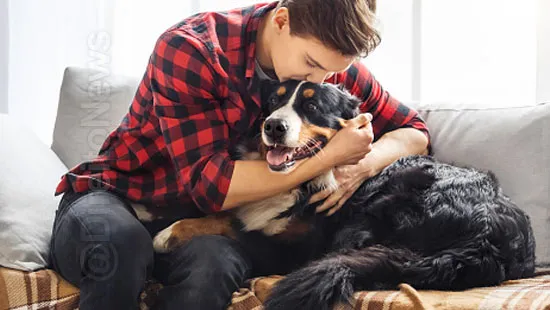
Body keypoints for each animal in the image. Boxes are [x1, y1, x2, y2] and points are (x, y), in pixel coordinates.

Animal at [149, 80, 536, 310]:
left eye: (312, 106)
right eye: (272, 102)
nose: (273, 126)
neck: (299, 181)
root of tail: (485, 243)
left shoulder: (298, 246)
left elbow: (237, 227)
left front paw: (168, 232)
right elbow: (227, 213)